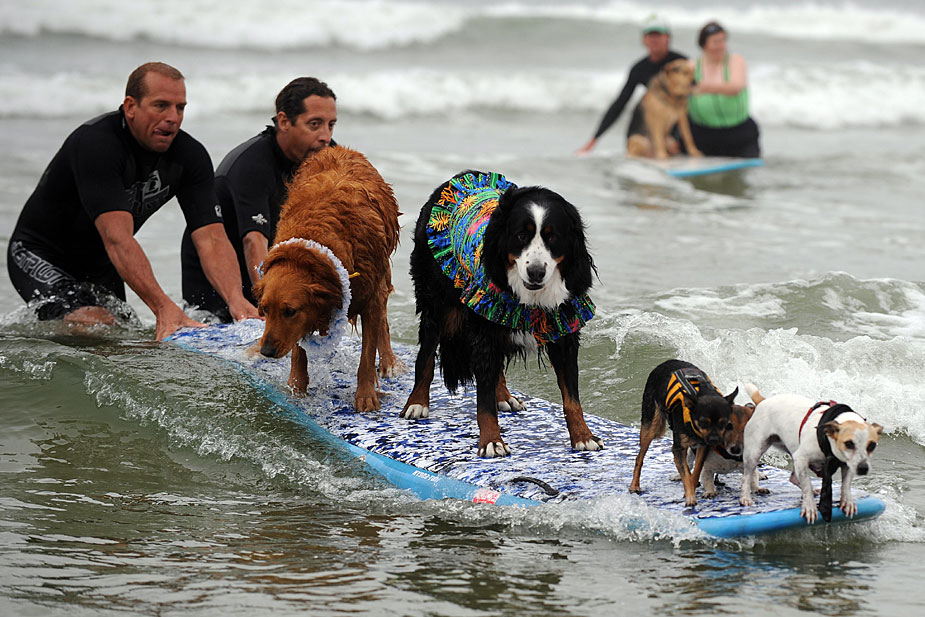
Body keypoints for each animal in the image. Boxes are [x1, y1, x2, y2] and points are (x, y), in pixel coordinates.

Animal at [252, 146, 402, 411]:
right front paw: (296, 387)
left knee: (383, 324)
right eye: (265, 309)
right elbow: (298, 352)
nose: (267, 351)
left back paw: (388, 363)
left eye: (289, 311)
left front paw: (365, 396)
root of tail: (339, 149)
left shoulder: (370, 297)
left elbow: (367, 354)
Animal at [400, 170, 602, 458]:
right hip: (438, 304)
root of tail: (460, 176)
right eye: (520, 236)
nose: (536, 272)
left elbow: (571, 397)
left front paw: (583, 437)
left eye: (553, 237)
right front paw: (491, 441)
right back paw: (416, 403)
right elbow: (483, 403)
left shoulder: (562, 329)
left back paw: (504, 396)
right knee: (426, 355)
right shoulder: (485, 324)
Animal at [630, 360, 738, 506]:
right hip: (651, 424)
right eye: (703, 422)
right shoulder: (679, 447)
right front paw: (690, 498)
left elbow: (695, 470)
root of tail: (665, 362)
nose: (714, 441)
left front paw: (691, 488)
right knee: (639, 457)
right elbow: (686, 473)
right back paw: (634, 485)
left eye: (724, 423)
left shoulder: (702, 446)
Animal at [739, 383, 884, 524]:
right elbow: (807, 485)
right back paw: (745, 498)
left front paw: (847, 501)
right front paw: (809, 506)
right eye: (849, 443)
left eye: (872, 445)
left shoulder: (847, 464)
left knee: (794, 477)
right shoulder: (801, 458)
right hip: (754, 452)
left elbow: (846, 484)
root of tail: (764, 400)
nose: (863, 468)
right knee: (747, 476)